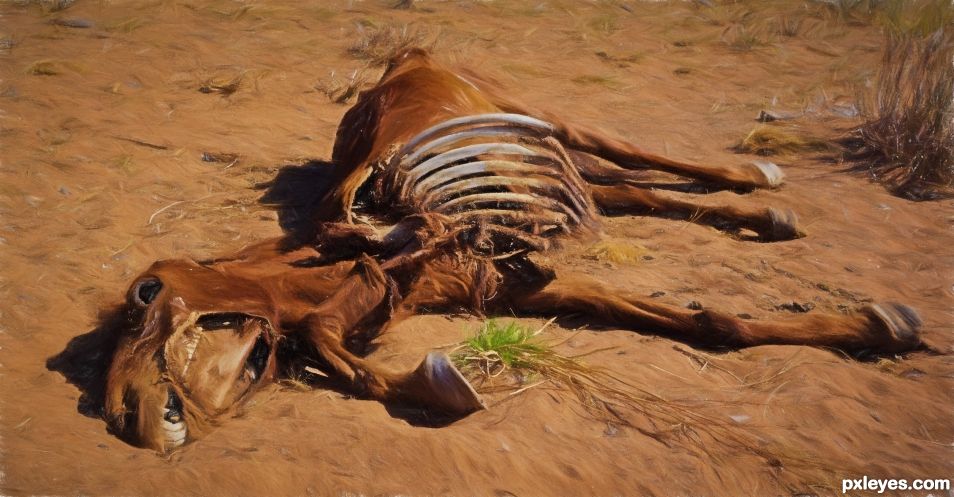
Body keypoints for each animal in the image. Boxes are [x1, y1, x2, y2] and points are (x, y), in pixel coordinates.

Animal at [102, 48, 916, 452]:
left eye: (144, 295)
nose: (126, 418)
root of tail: (405, 58)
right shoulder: (507, 287)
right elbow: (706, 321)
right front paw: (876, 328)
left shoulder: (425, 254)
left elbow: (334, 311)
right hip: (545, 154)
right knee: (624, 190)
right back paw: (765, 215)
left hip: (542, 112)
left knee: (627, 155)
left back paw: (762, 184)